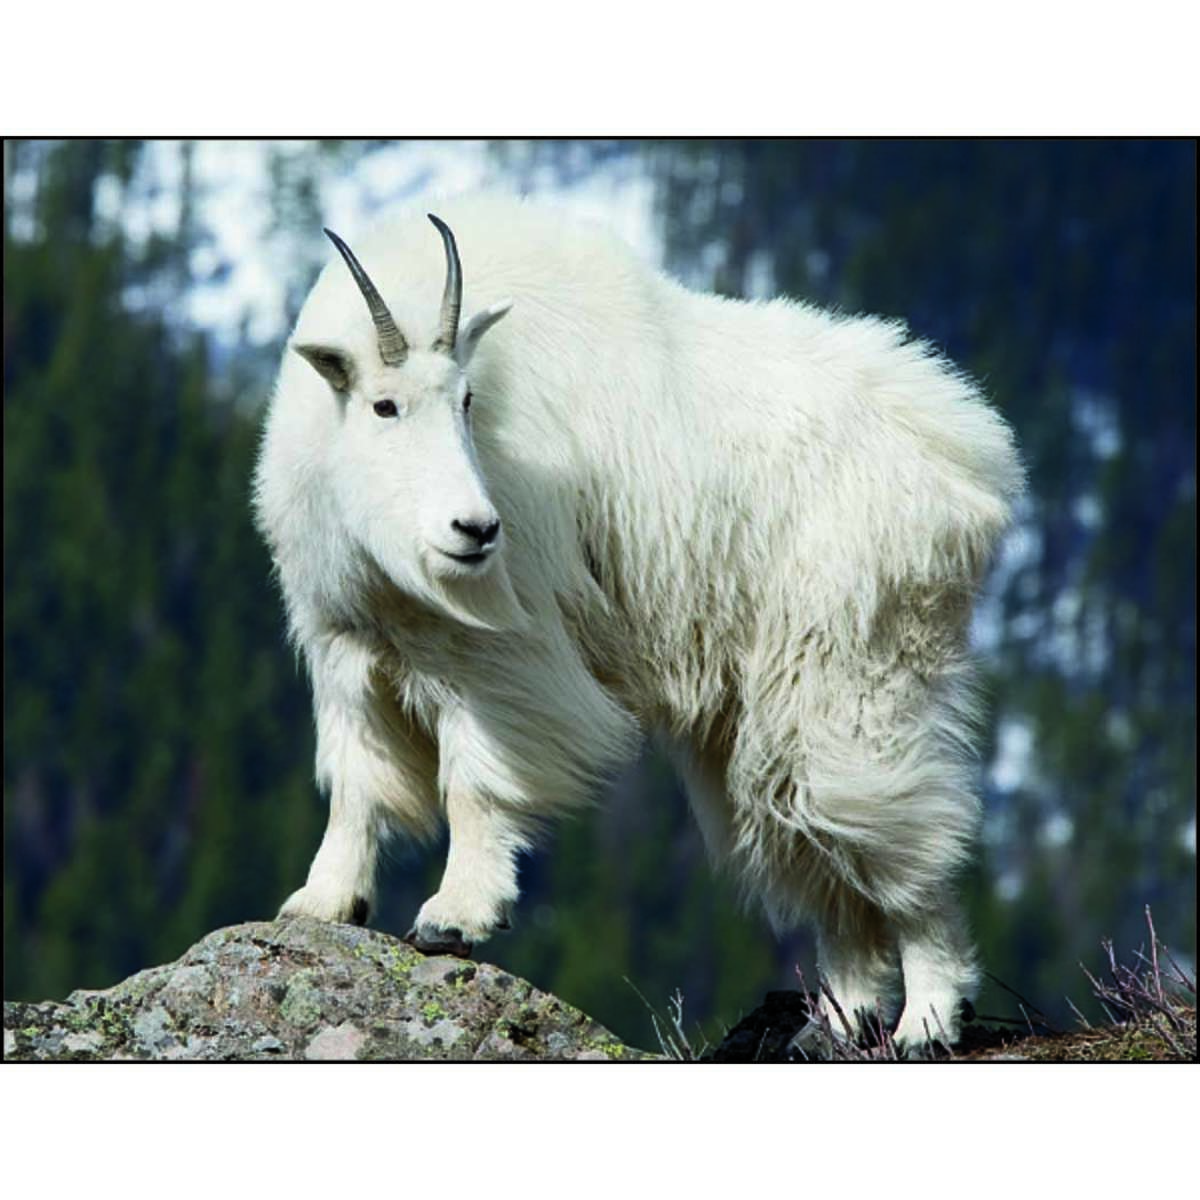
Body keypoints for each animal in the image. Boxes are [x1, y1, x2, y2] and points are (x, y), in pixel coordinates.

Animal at [252, 193, 1023, 1052]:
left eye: (467, 401)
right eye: (384, 405)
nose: (475, 529)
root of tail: (968, 456)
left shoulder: (502, 654)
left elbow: (475, 781)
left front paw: (455, 918)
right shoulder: (347, 649)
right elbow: (356, 783)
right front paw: (322, 901)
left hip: (853, 663)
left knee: (902, 831)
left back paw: (930, 1016)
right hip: (764, 704)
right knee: (813, 839)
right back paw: (834, 1022)